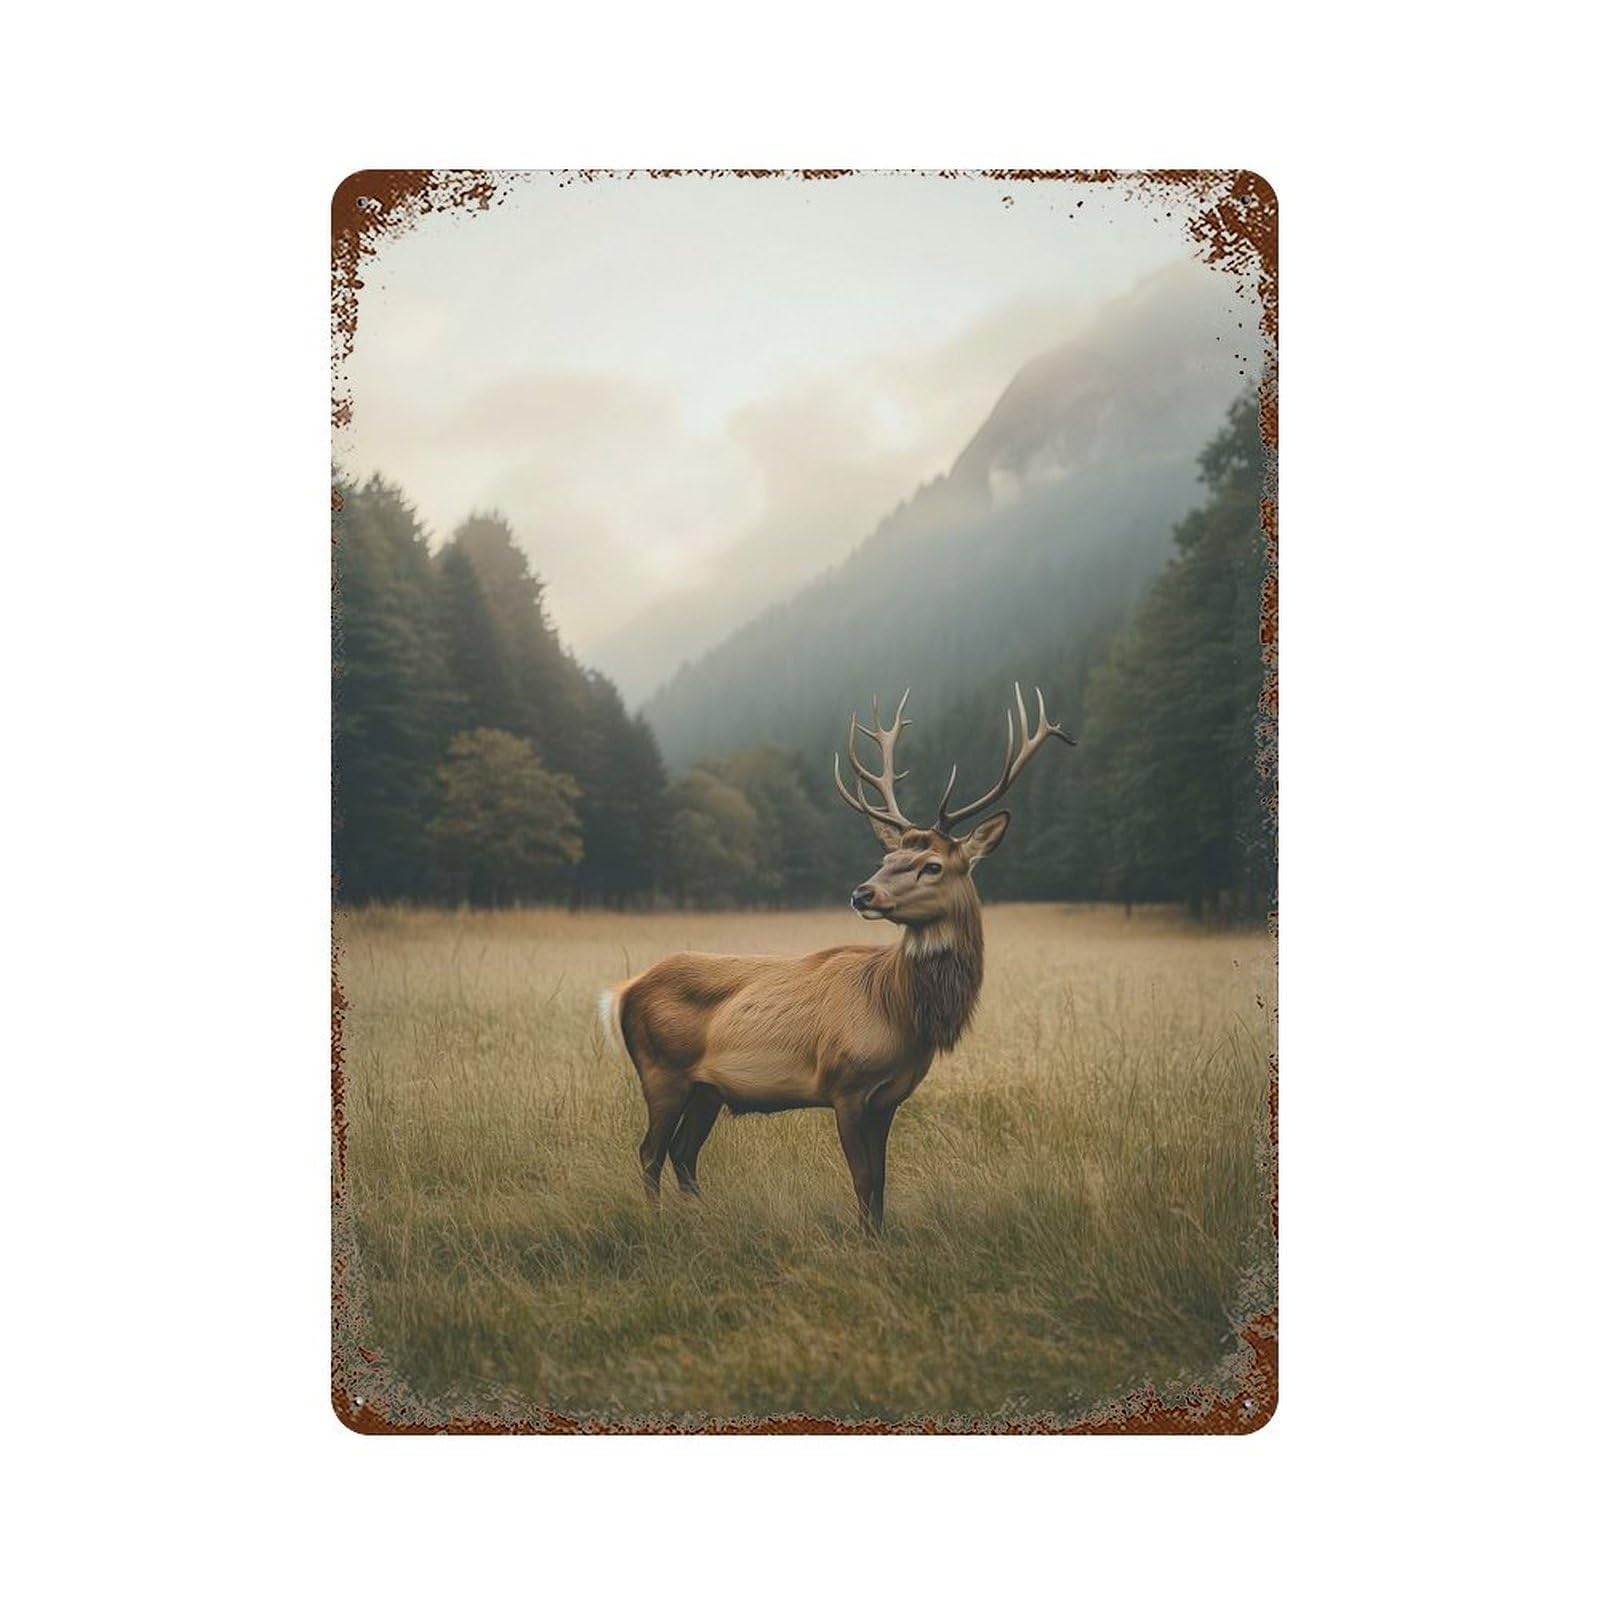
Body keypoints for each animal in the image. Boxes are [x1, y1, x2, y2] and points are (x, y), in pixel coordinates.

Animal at [599, 684, 1073, 1232]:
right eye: (888, 858)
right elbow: (863, 1181)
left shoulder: (890, 1097)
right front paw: (865, 1241)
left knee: (683, 1153)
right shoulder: (844, 1083)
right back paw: (655, 1223)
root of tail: (624, 991)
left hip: (707, 1089)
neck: (901, 1012)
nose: (862, 893)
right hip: (662, 1070)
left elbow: (882, 1183)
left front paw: (880, 1236)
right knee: (649, 1152)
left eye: (932, 864)